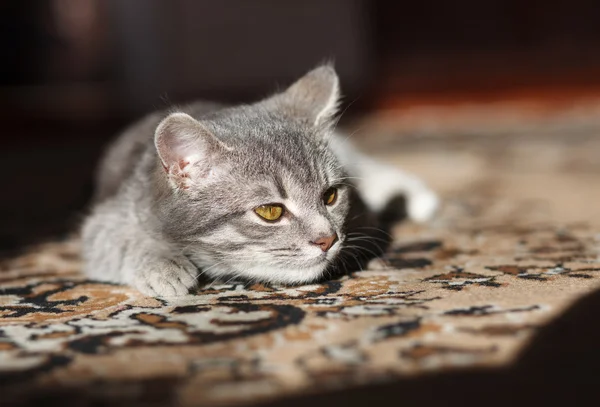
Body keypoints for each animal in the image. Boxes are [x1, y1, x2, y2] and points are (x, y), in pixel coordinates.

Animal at [82, 65, 438, 298]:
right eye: (270, 212)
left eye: (330, 196)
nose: (327, 240)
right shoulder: (106, 220)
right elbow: (117, 242)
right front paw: (163, 265)